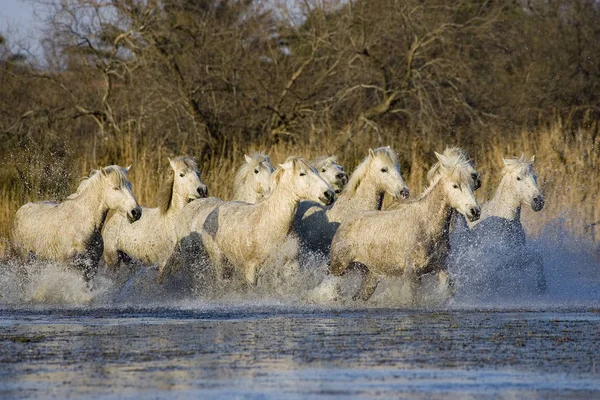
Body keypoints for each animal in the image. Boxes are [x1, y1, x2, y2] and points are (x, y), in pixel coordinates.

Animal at [10, 165, 141, 278]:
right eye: (116, 188)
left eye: (130, 186)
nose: (136, 212)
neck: (82, 225)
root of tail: (21, 210)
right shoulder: (71, 266)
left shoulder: (91, 267)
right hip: (24, 262)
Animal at [200, 158, 332, 286]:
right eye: (302, 173)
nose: (329, 194)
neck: (274, 225)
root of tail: (212, 213)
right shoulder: (252, 268)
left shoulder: (291, 265)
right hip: (219, 262)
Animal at [330, 152, 480, 302]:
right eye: (455, 186)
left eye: (472, 185)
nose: (475, 211)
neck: (427, 226)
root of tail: (345, 222)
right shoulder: (412, 273)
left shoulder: (441, 267)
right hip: (339, 268)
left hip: (370, 275)